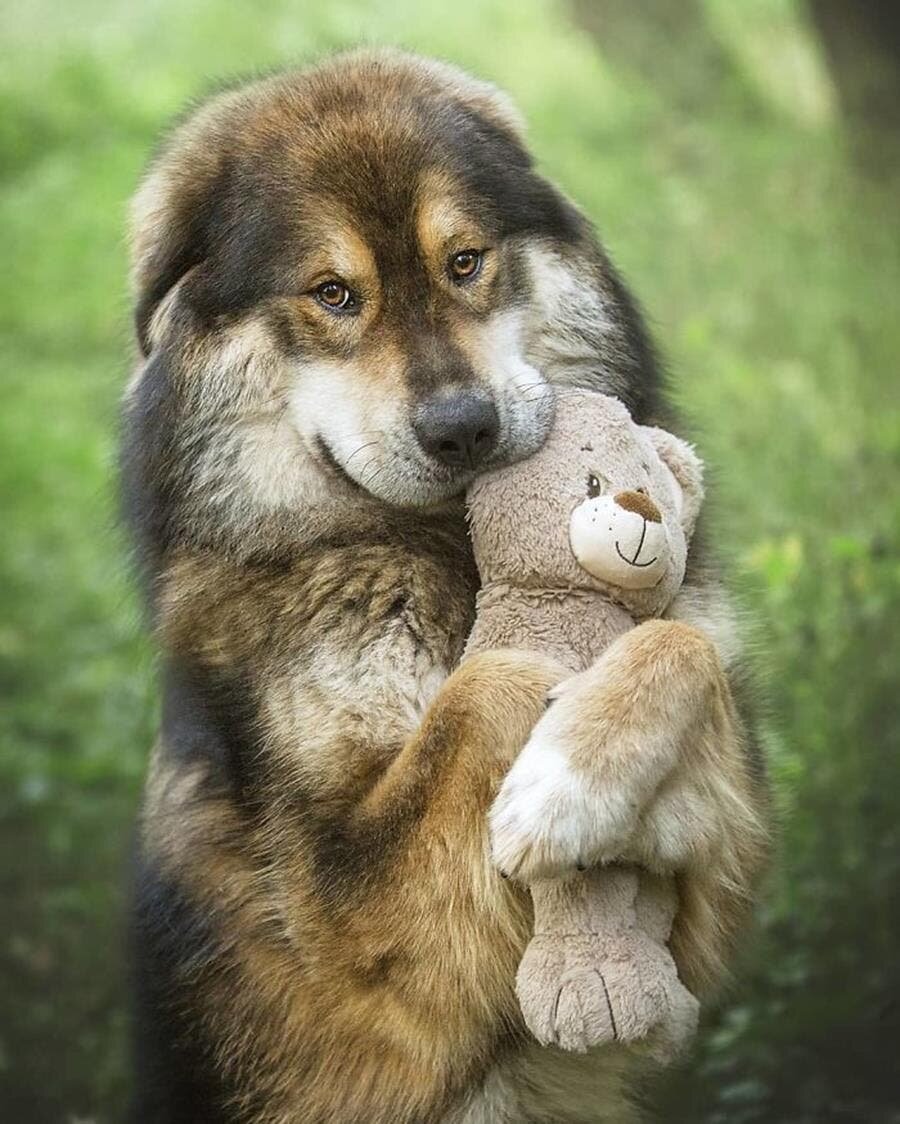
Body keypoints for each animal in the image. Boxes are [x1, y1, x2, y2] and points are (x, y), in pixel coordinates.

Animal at [124, 46, 773, 1124]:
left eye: (464, 262)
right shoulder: (349, 934)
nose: (463, 428)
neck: (455, 547)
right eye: (333, 293)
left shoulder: (709, 905)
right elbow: (493, 678)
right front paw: (551, 782)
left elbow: (676, 642)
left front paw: (570, 777)